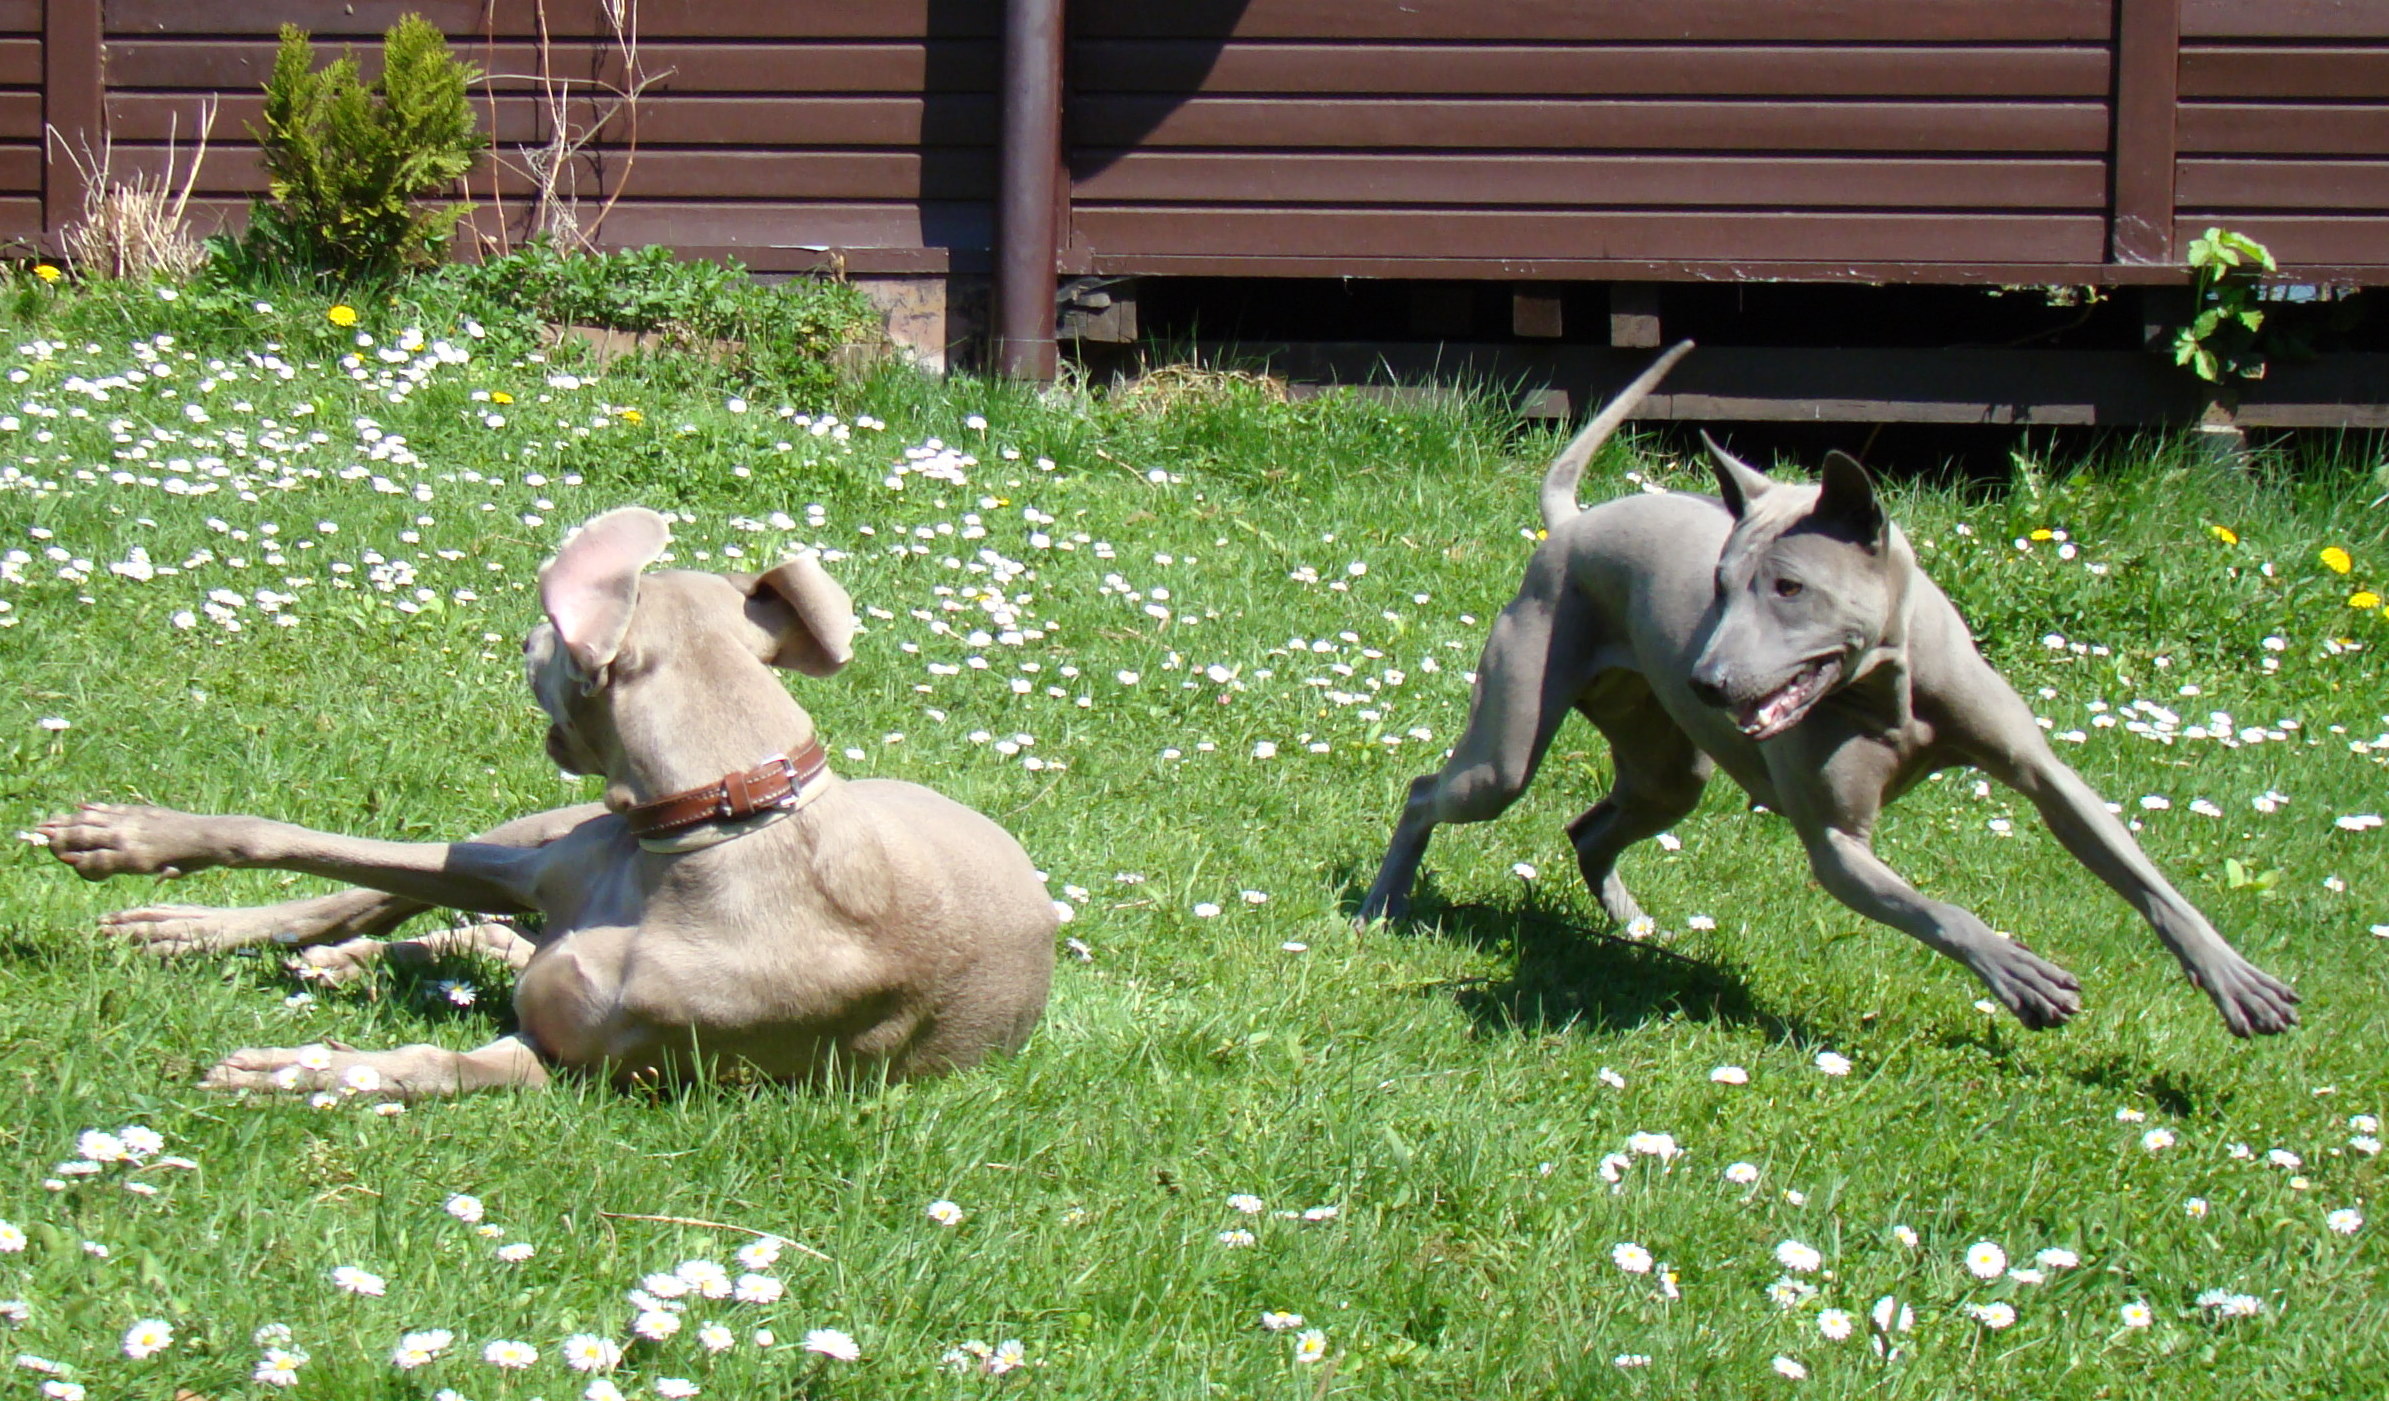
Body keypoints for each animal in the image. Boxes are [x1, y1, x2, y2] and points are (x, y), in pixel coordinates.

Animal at [41, 507, 1058, 1094]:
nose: (523, 636)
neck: (714, 827)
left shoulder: (585, 1059)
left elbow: (446, 1064)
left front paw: (301, 1070)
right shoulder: (534, 864)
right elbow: (303, 841)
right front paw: (129, 839)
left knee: (467, 934)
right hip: (538, 830)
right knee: (379, 898)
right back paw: (197, 930)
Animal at [1358, 343, 2298, 1037]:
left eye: (1788, 587)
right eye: (1719, 584)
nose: (1704, 678)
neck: (1885, 694)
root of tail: (1575, 524)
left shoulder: (2045, 775)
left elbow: (2142, 875)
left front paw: (2234, 978)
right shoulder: (1840, 849)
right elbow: (1937, 909)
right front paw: (2014, 969)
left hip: (1669, 771)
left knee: (1590, 828)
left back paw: (1631, 924)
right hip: (1507, 752)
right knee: (1427, 791)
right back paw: (1380, 902)